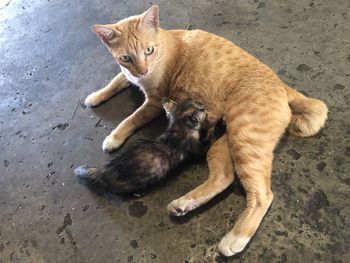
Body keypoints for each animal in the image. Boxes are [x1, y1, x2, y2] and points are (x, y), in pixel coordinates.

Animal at [75, 99, 217, 196]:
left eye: (196, 101)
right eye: (200, 107)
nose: (204, 105)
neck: (178, 127)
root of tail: (102, 172)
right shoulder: (196, 148)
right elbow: (205, 144)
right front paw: (213, 127)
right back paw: (138, 193)